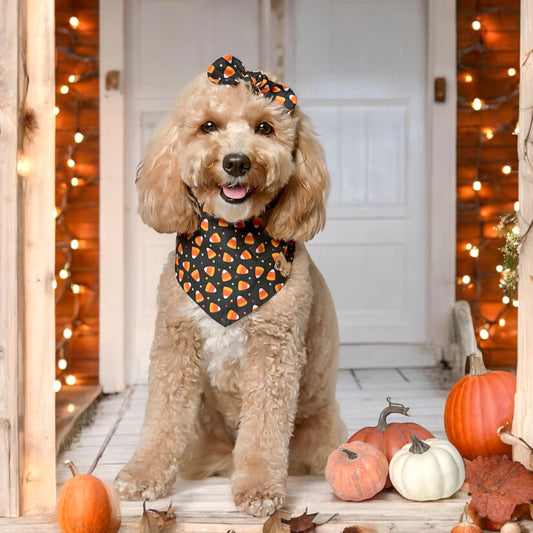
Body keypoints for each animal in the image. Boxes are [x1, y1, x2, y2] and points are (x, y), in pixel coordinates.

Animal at [115, 55, 344, 516]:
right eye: (208, 126)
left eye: (265, 128)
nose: (236, 162)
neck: (231, 247)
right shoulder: (175, 344)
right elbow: (161, 419)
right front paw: (143, 475)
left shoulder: (274, 352)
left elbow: (264, 430)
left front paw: (259, 489)